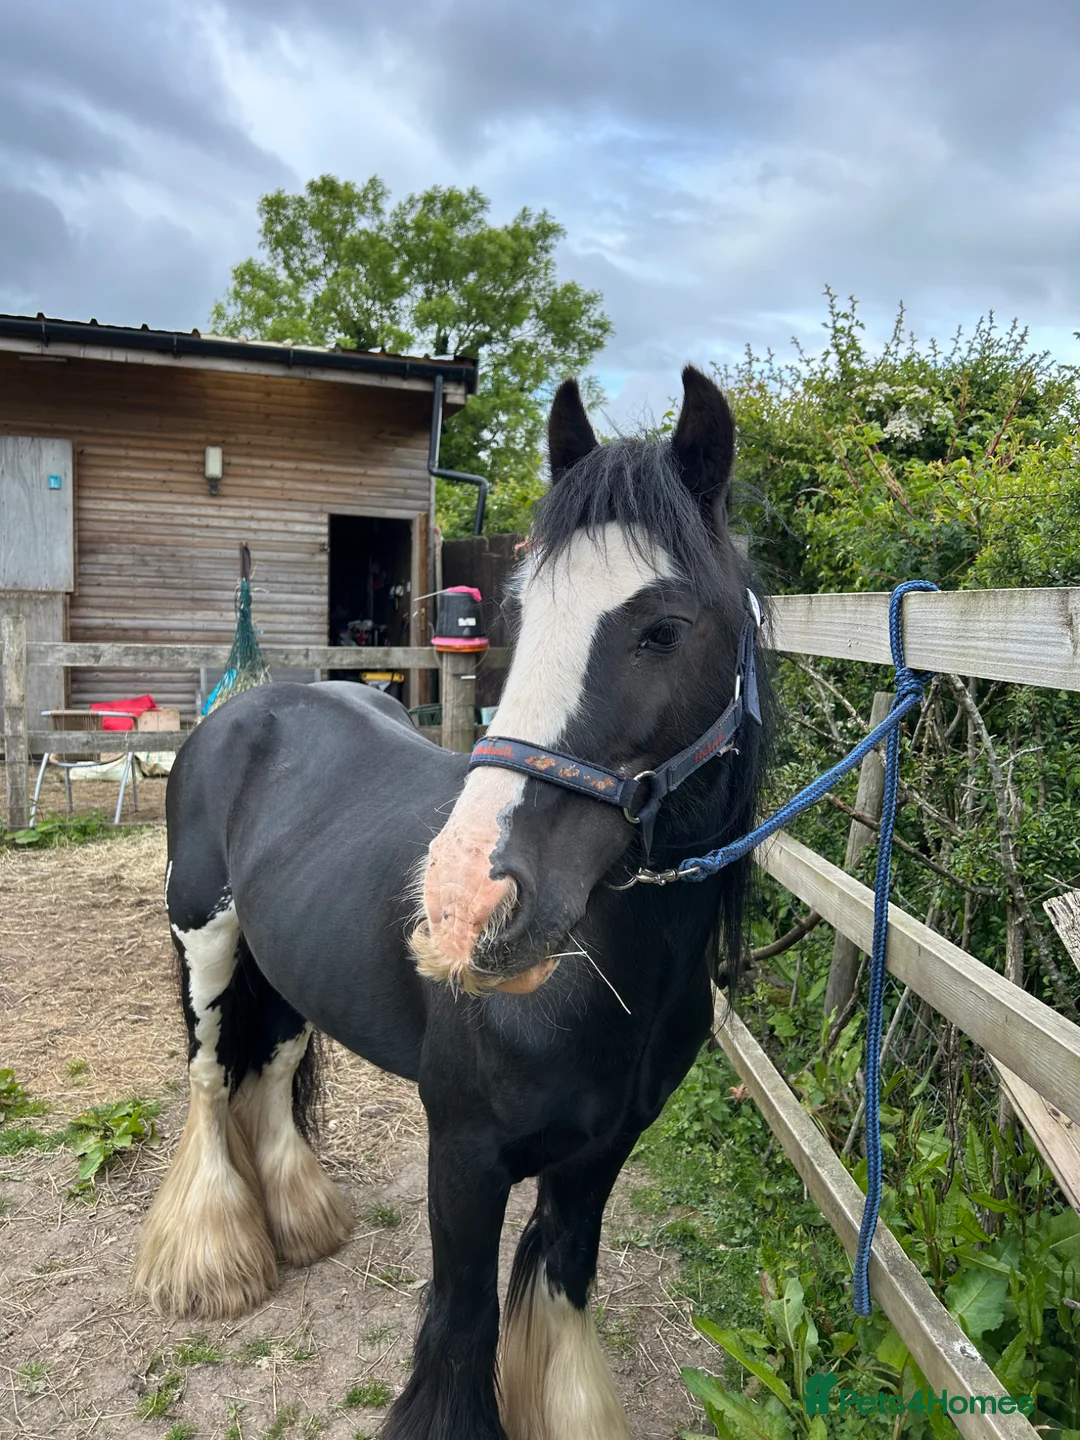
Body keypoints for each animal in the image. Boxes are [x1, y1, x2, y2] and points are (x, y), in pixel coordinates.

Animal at [133, 366, 772, 1440]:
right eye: (519, 613)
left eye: (665, 630)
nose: (465, 908)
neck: (615, 981)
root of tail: (246, 704)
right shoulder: (465, 1157)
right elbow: (465, 1323)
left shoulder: (601, 1155)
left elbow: (561, 1287)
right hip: (206, 942)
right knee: (212, 1076)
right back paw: (217, 1259)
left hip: (290, 969)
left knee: (272, 1065)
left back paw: (301, 1223)